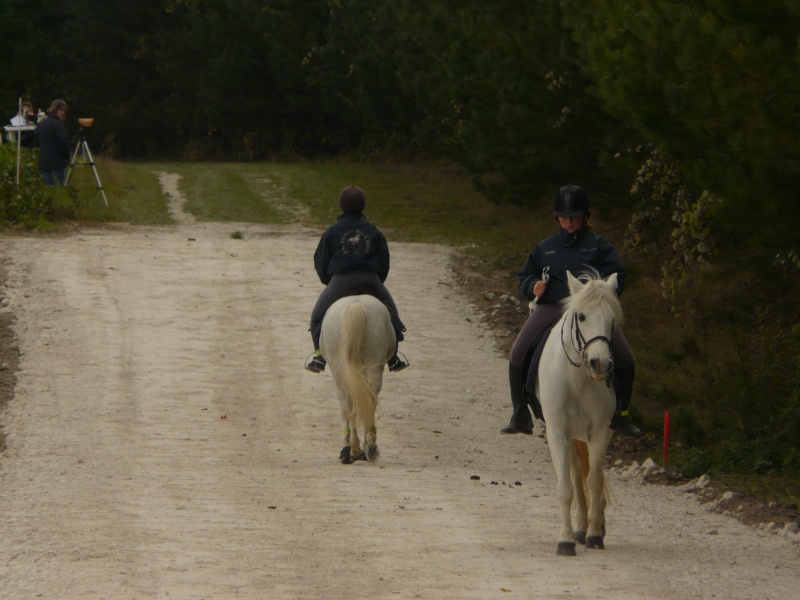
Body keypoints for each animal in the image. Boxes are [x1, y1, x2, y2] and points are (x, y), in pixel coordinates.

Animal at [318, 294, 396, 464]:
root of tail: (355, 306)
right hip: (370, 364)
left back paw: (354, 450)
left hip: (341, 369)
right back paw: (366, 447)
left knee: (349, 404)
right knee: (364, 401)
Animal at [536, 270, 620, 556]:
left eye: (612, 318)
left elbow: (594, 482)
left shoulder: (601, 432)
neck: (578, 378)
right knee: (574, 473)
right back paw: (578, 530)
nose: (600, 365)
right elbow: (566, 488)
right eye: (581, 316)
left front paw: (595, 535)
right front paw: (565, 541)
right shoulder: (557, 432)